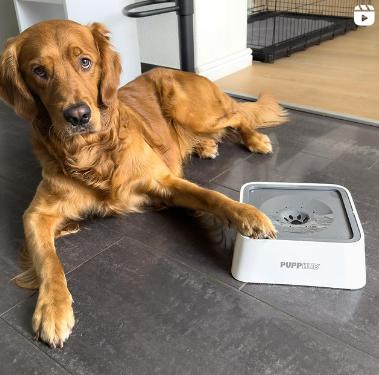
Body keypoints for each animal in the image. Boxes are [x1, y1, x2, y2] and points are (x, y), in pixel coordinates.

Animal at [0, 20, 286, 348]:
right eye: (39, 71)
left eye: (85, 62)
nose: (78, 116)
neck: (92, 152)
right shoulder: (36, 214)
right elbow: (49, 261)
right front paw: (52, 308)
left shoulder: (164, 181)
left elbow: (212, 196)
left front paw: (249, 215)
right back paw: (206, 146)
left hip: (194, 111)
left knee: (238, 116)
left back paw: (254, 139)